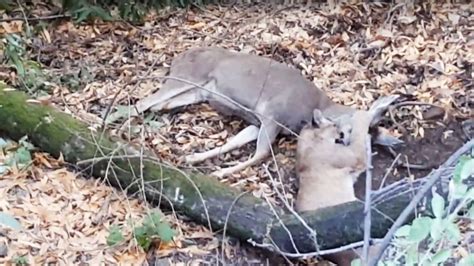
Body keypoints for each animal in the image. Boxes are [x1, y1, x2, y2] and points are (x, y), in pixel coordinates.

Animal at [105, 46, 402, 178]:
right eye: (358, 130)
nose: (361, 163)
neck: (310, 108)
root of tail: (179, 56)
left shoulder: (259, 122)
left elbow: (235, 142)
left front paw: (193, 158)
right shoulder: (272, 115)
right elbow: (260, 154)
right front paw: (218, 174)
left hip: (196, 92)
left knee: (157, 105)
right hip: (183, 78)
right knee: (143, 102)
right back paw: (106, 122)